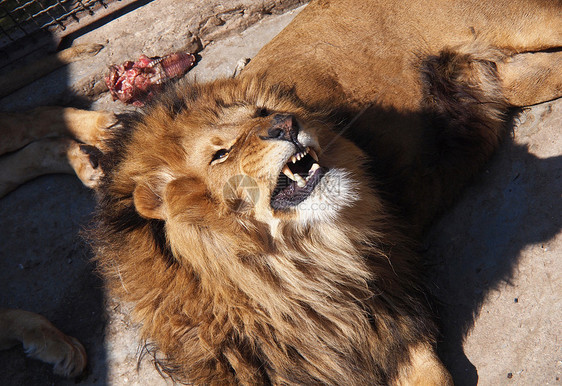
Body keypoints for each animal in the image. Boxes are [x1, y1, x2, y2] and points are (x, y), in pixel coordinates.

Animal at [1, 0, 560, 382]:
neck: (283, 272)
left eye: (262, 113)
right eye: (220, 153)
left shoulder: (392, 317)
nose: (287, 124)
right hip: (517, 77)